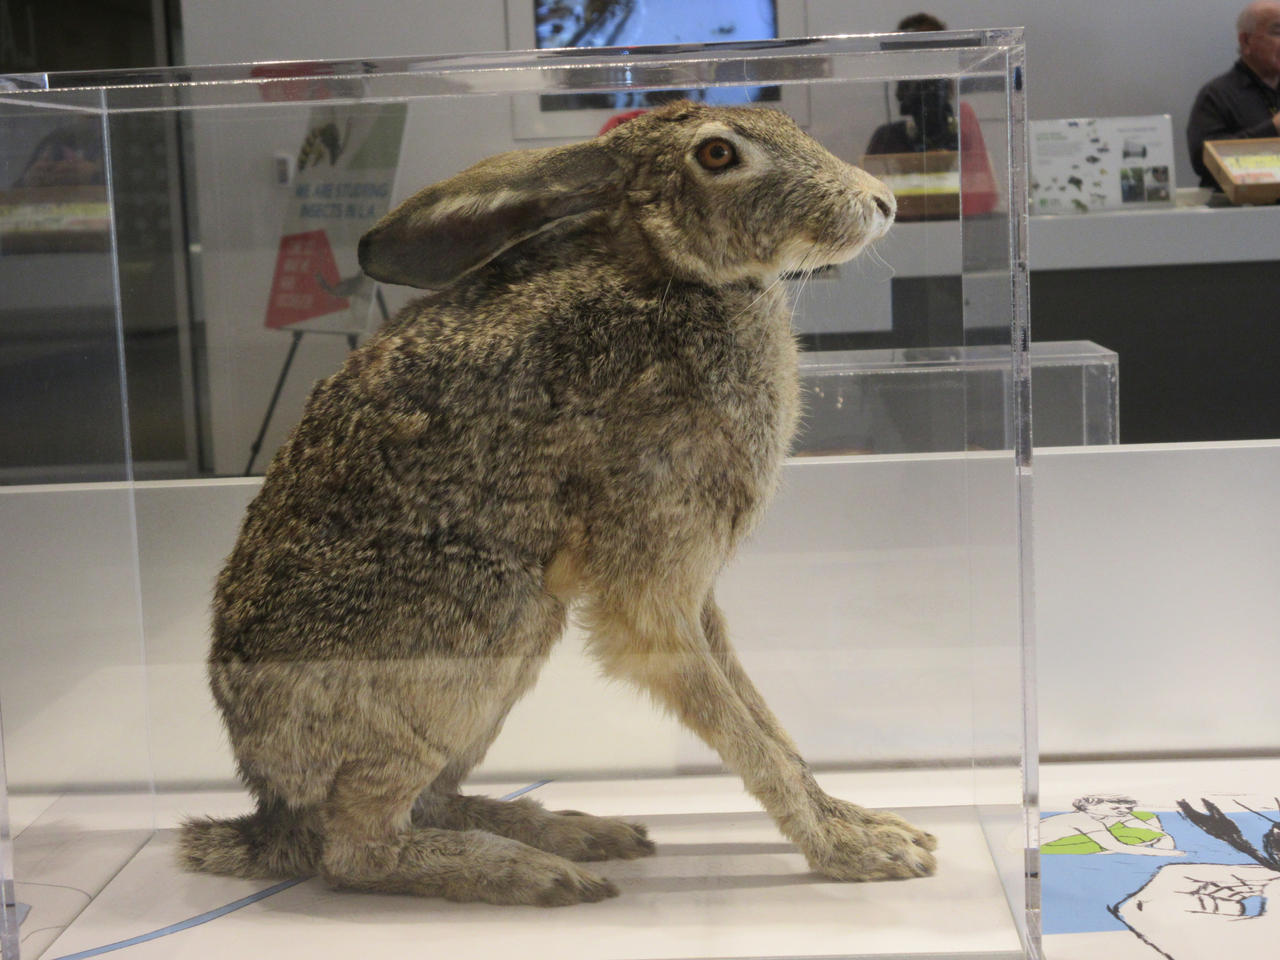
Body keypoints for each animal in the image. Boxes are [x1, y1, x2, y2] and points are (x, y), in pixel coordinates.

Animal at [179, 100, 937, 907]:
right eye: (718, 155)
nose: (882, 202)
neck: (677, 278)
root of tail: (270, 811)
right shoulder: (656, 573)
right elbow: (737, 725)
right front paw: (855, 851)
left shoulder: (696, 588)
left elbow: (766, 719)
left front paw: (867, 825)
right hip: (479, 628)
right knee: (357, 849)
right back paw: (534, 873)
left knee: (429, 803)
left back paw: (575, 832)